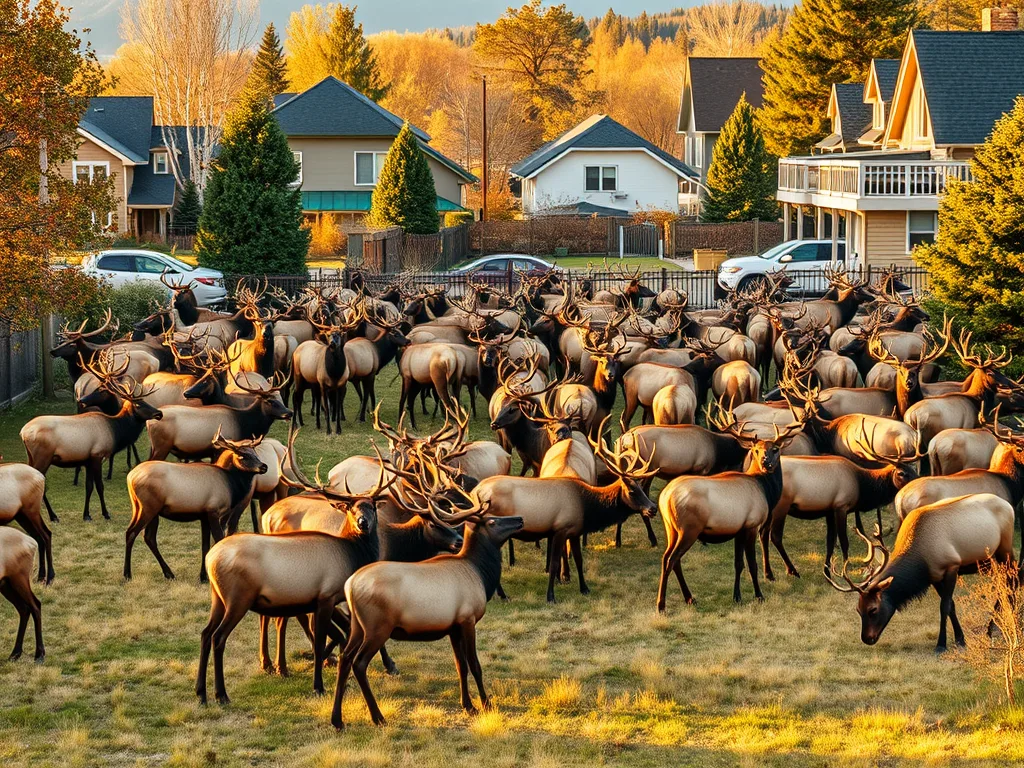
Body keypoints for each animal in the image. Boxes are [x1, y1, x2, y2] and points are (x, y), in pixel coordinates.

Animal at [655, 404, 804, 611]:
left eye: (775, 449)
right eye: (756, 450)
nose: (766, 463)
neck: (766, 491)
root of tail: (665, 498)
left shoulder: (739, 529)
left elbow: (738, 563)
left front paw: (737, 596)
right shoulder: (752, 525)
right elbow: (752, 564)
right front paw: (759, 595)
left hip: (671, 529)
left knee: (667, 558)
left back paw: (689, 598)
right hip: (689, 529)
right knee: (671, 559)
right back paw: (661, 604)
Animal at [825, 495, 1015, 653]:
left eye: (873, 609)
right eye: (858, 609)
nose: (866, 638)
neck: (921, 559)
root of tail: (1009, 506)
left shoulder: (952, 566)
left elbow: (944, 606)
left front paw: (941, 644)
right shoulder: (934, 576)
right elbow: (952, 605)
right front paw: (960, 639)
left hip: (1005, 549)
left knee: (1013, 580)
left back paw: (1003, 625)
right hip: (990, 561)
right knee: (1004, 585)